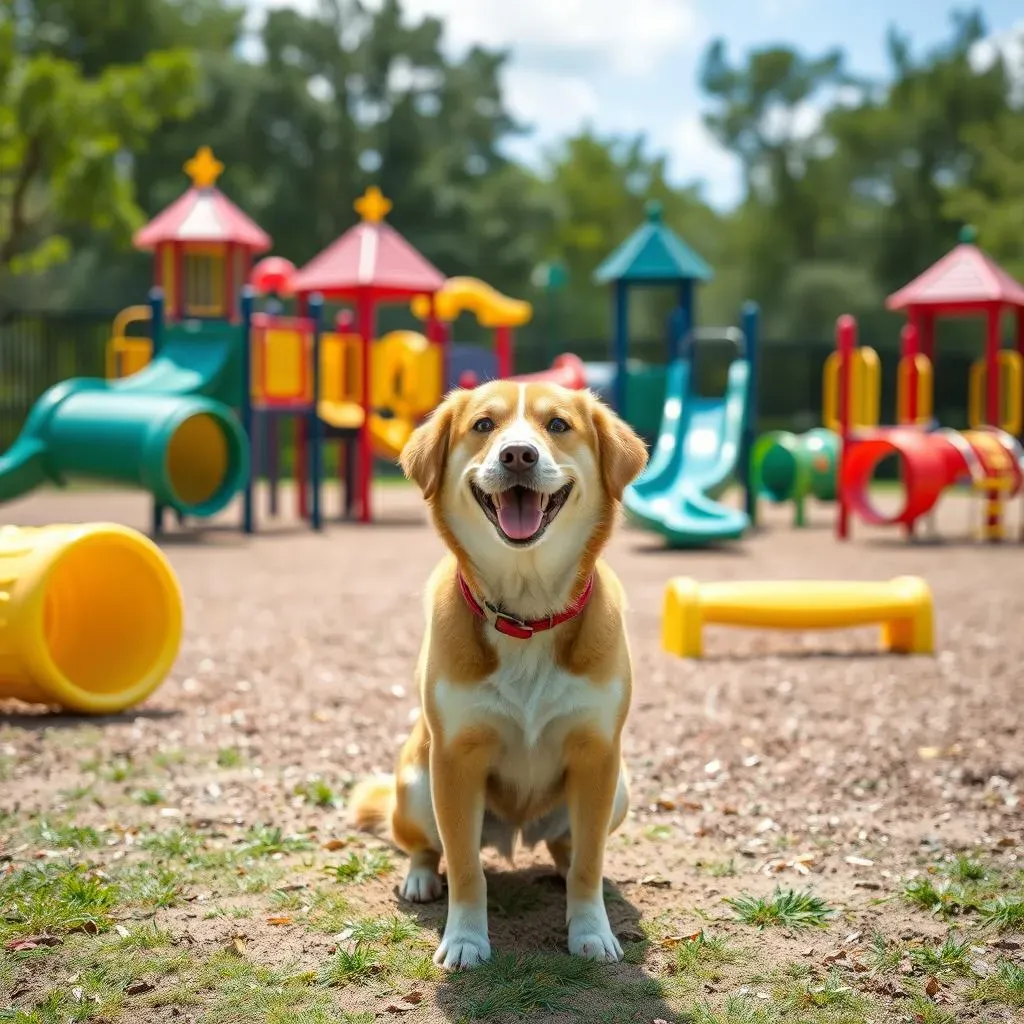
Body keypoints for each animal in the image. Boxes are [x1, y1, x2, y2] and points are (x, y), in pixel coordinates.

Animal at [348, 382, 643, 966]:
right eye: (484, 425)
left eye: (558, 425)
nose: (518, 455)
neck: (526, 614)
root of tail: (516, 836)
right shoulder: (455, 759)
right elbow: (465, 868)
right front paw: (465, 940)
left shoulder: (598, 755)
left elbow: (589, 862)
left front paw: (591, 930)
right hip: (417, 785)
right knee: (425, 846)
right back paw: (420, 878)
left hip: (618, 790)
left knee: (568, 847)